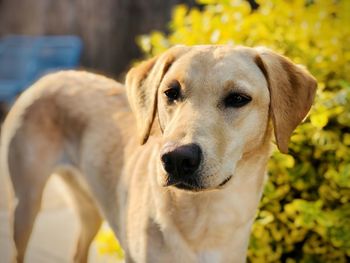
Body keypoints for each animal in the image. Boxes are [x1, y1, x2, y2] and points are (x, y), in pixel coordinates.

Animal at [0, 44, 318, 262]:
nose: (177, 158)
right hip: (25, 205)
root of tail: (48, 78)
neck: (206, 218)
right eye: (170, 92)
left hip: (89, 210)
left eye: (238, 98)